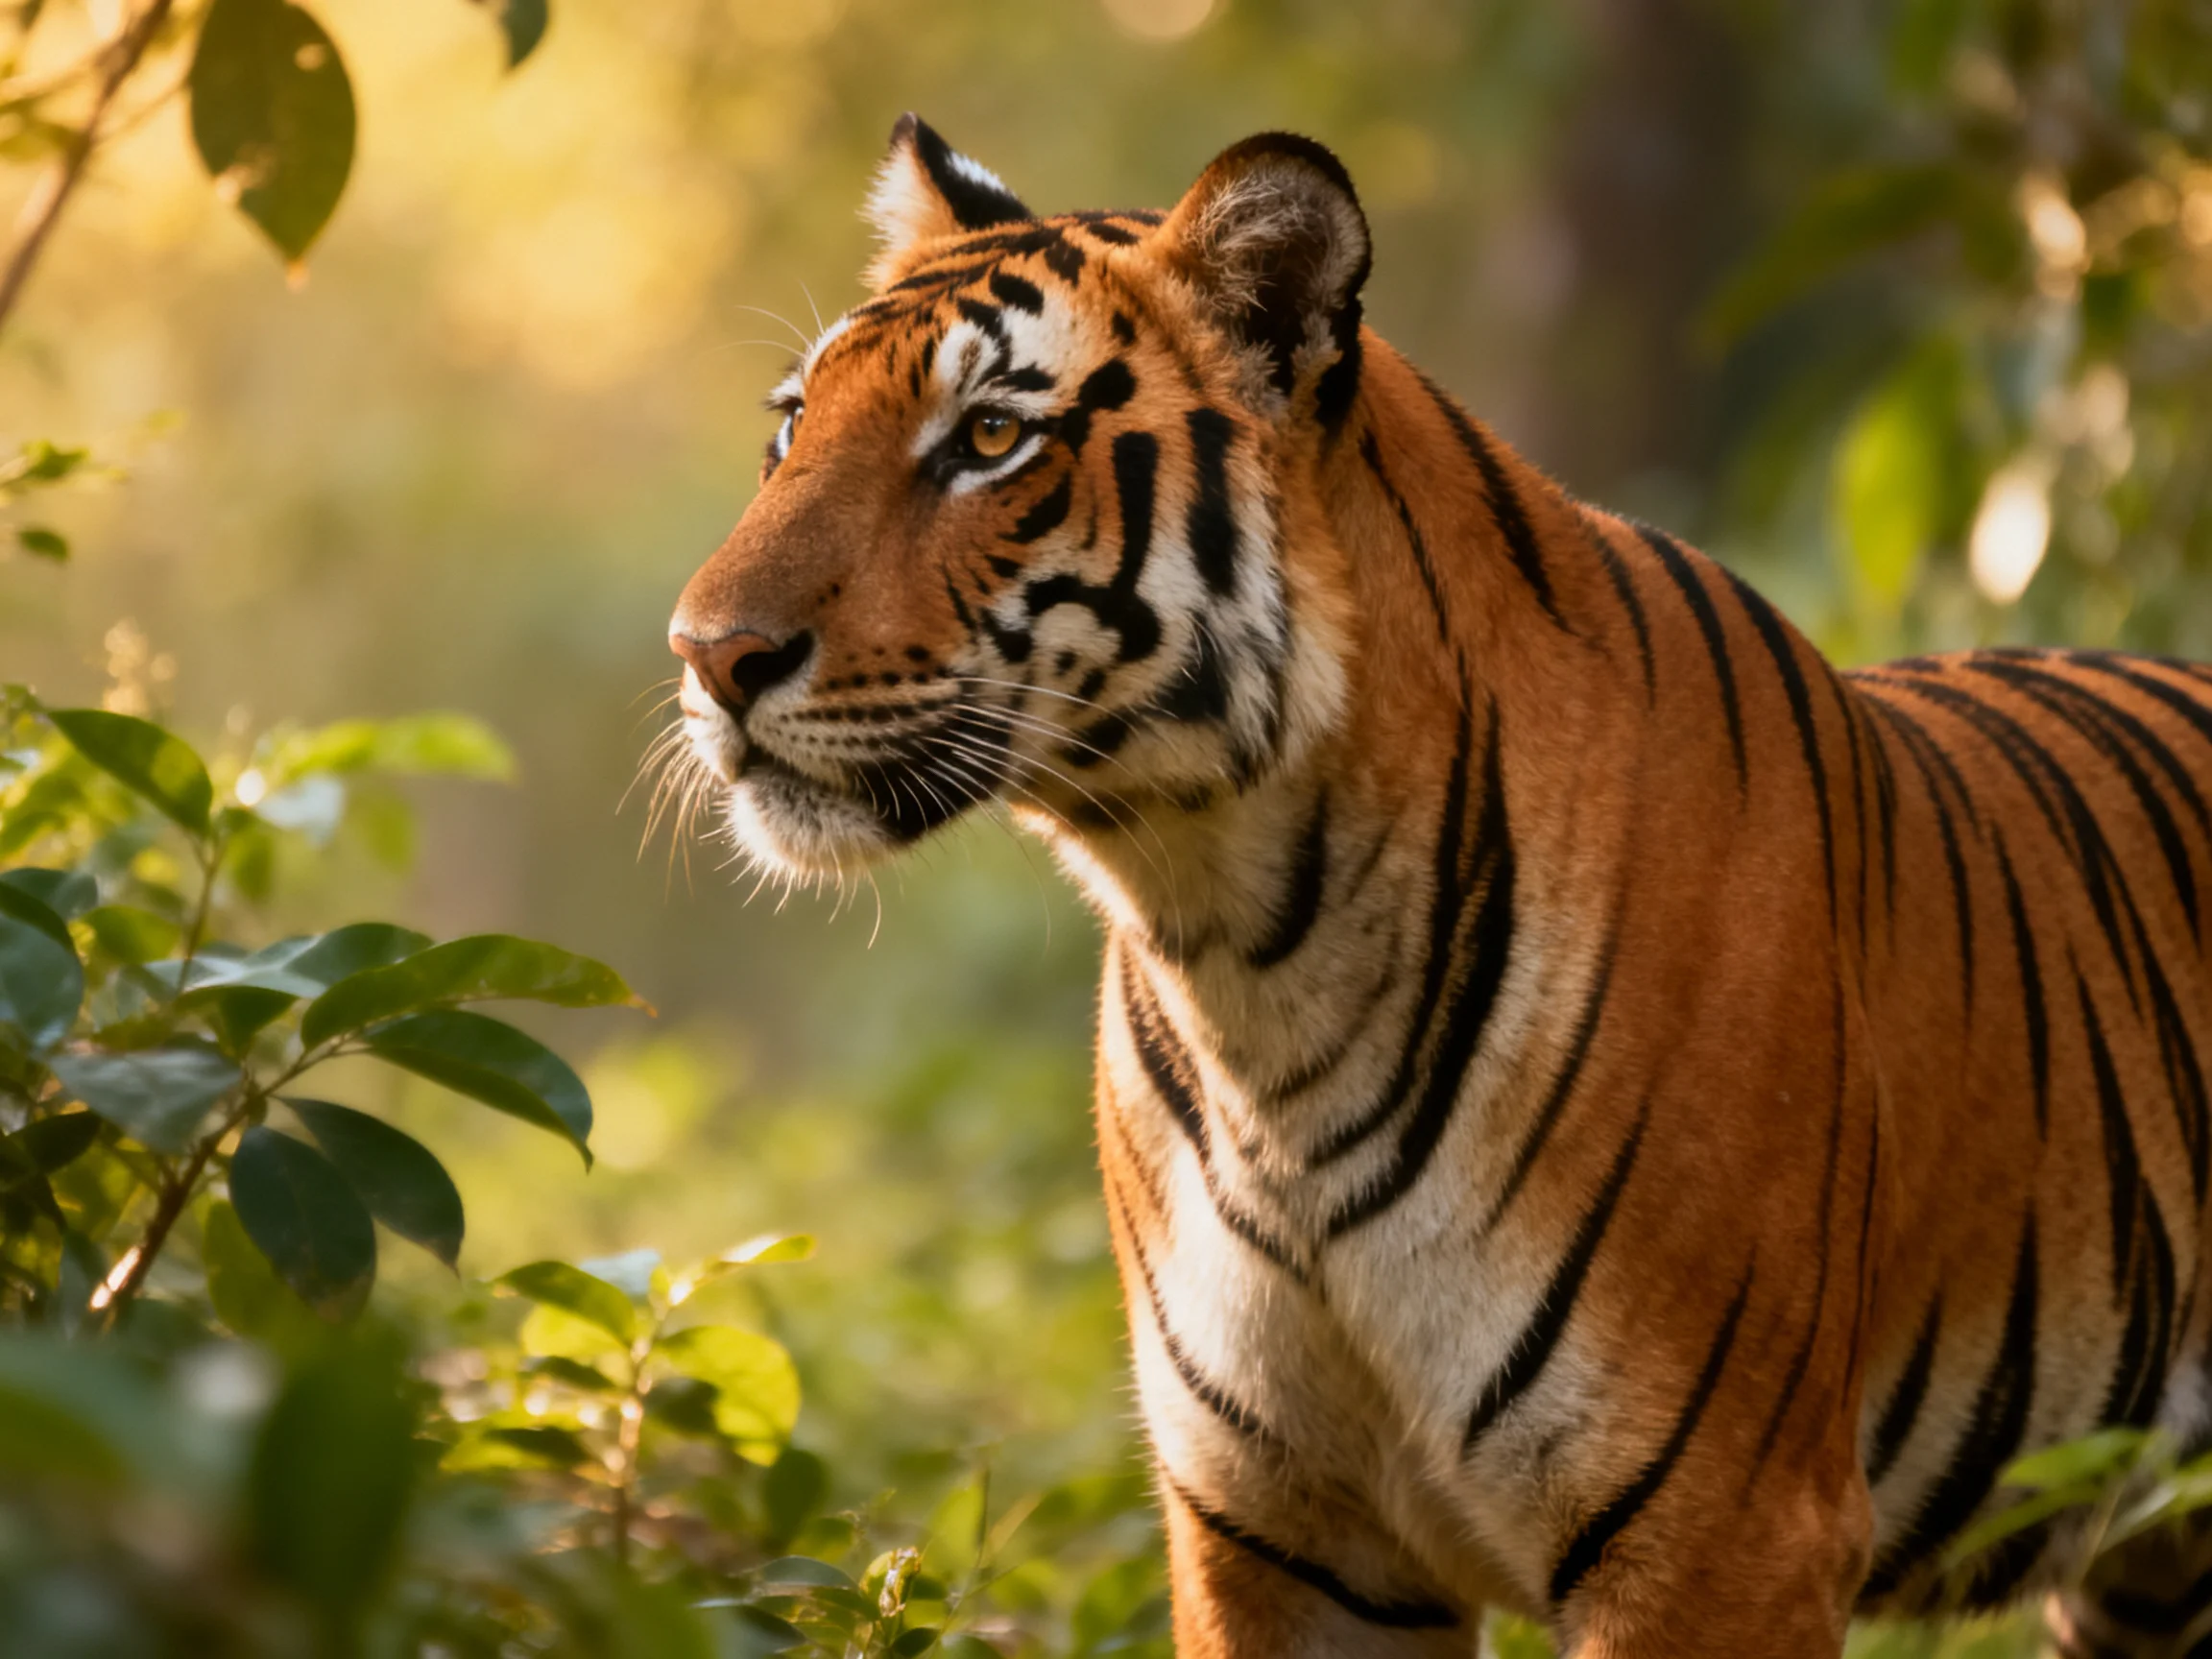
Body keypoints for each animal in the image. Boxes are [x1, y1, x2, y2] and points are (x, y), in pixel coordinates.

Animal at [666, 115, 2212, 1657]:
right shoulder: (1274, 1537)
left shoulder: (1727, 1529)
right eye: (792, 426)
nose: (707, 654)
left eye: (990, 437)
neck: (1249, 958)